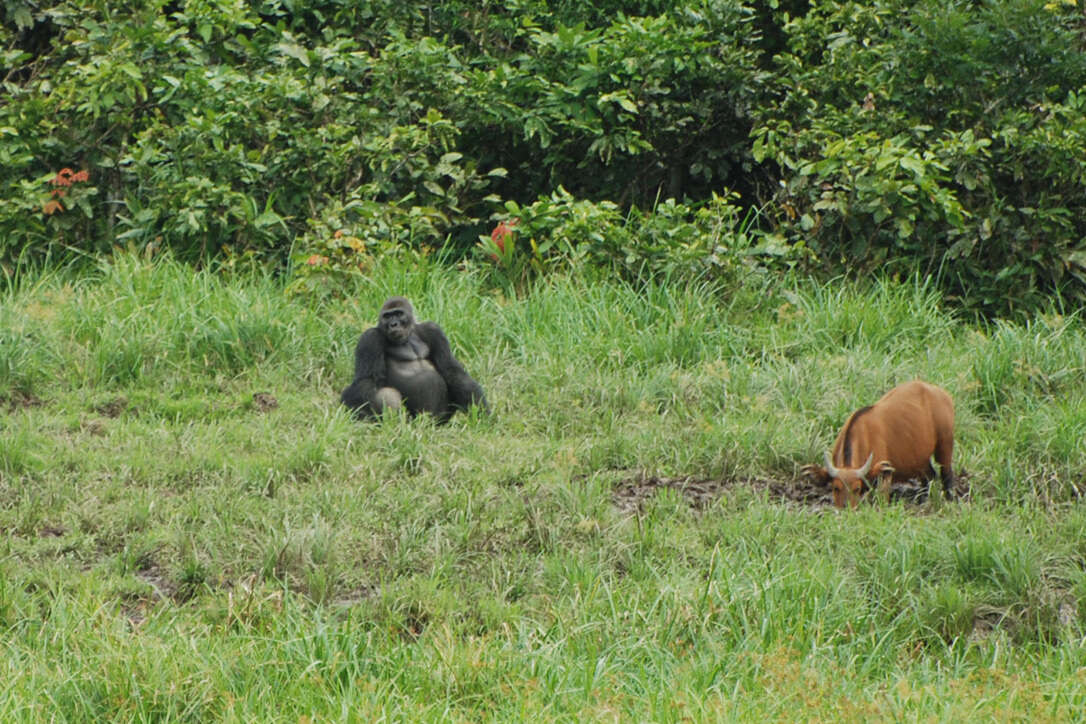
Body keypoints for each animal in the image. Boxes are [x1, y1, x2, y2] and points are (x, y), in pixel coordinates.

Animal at [341, 295, 490, 421]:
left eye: (399, 314)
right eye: (387, 316)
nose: (393, 324)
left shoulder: (433, 330)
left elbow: (450, 370)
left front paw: (481, 411)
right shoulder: (370, 338)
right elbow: (366, 381)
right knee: (387, 394)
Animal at [803, 382, 955, 507]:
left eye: (856, 489)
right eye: (835, 488)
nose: (845, 509)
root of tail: (942, 394)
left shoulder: (885, 474)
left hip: (945, 445)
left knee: (946, 474)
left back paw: (949, 499)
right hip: (920, 459)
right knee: (929, 476)